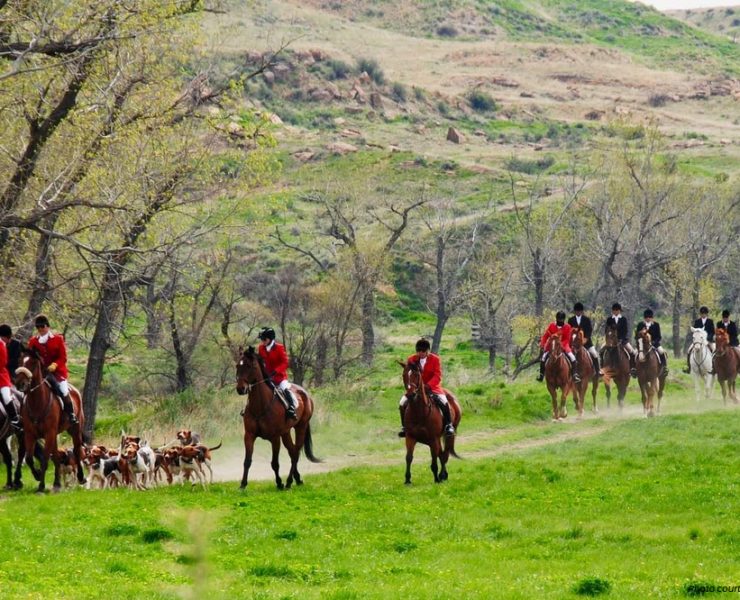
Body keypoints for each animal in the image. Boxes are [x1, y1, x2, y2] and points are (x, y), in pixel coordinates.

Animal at [14, 348, 85, 493]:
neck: (37, 402)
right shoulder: (30, 434)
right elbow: (29, 458)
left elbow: (45, 459)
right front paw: (37, 475)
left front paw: (41, 486)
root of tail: (74, 389)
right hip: (54, 435)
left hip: (74, 429)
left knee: (76, 450)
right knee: (56, 456)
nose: (19, 383)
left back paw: (81, 477)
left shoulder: (49, 433)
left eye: (33, 364)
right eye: (20, 361)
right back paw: (57, 483)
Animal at [235, 346, 320, 490]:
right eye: (237, 365)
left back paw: (289, 481)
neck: (260, 405)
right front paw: (243, 484)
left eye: (249, 366)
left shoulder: (275, 438)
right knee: (292, 451)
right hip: (285, 432)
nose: (241, 389)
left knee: (296, 453)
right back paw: (297, 479)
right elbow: (247, 461)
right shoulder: (249, 435)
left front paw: (279, 483)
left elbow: (275, 463)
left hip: (300, 426)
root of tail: (304, 393)